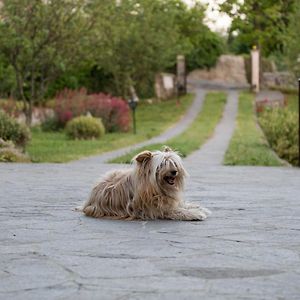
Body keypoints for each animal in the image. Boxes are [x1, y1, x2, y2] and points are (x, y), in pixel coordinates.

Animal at [77, 147, 210, 220]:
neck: (157, 188)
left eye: (173, 163)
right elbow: (178, 211)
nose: (174, 172)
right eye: (161, 165)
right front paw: (196, 213)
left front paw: (198, 207)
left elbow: (183, 205)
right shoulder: (157, 210)